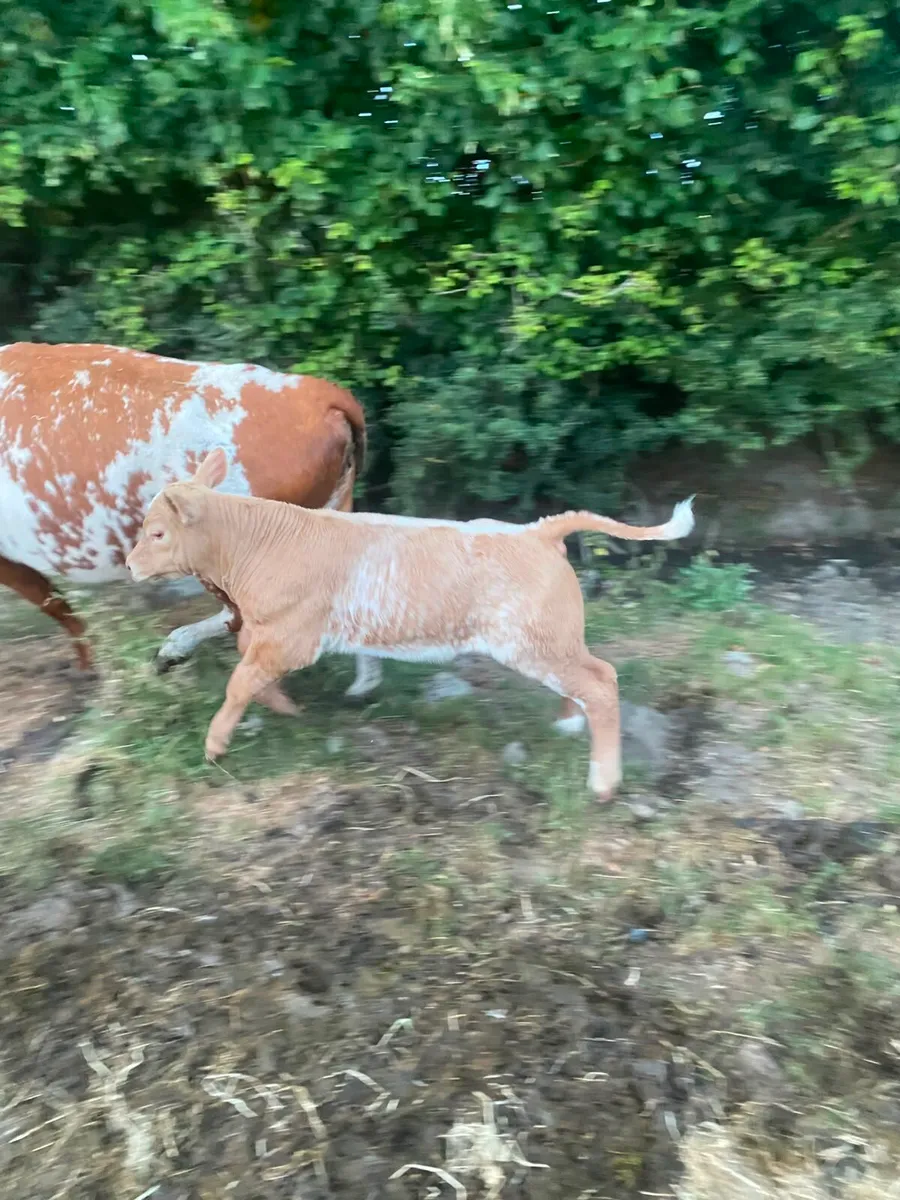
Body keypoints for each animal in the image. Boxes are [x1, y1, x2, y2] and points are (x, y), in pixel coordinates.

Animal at [0, 341, 383, 697]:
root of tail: (321, 396)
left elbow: (58, 608)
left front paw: (90, 670)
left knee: (242, 617)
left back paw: (175, 649)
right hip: (334, 516)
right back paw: (365, 684)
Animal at [125, 449, 695, 800]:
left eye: (157, 533)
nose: (129, 565)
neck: (254, 546)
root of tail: (538, 531)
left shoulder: (292, 634)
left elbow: (241, 678)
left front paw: (216, 744)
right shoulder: (273, 628)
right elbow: (247, 660)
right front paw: (291, 703)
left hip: (533, 641)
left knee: (600, 682)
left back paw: (603, 782)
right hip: (551, 638)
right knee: (589, 675)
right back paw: (568, 723)